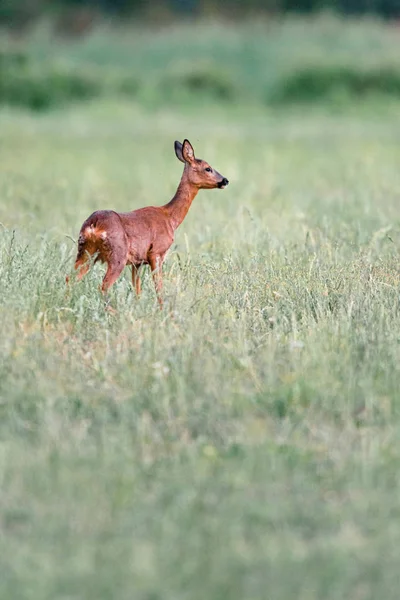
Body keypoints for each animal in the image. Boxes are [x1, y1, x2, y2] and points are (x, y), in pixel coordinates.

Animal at [69, 140, 228, 308]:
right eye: (208, 168)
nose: (225, 180)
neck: (170, 218)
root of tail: (94, 225)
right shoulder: (156, 253)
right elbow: (159, 288)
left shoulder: (137, 262)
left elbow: (137, 289)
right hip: (117, 255)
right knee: (104, 285)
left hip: (86, 251)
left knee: (70, 278)